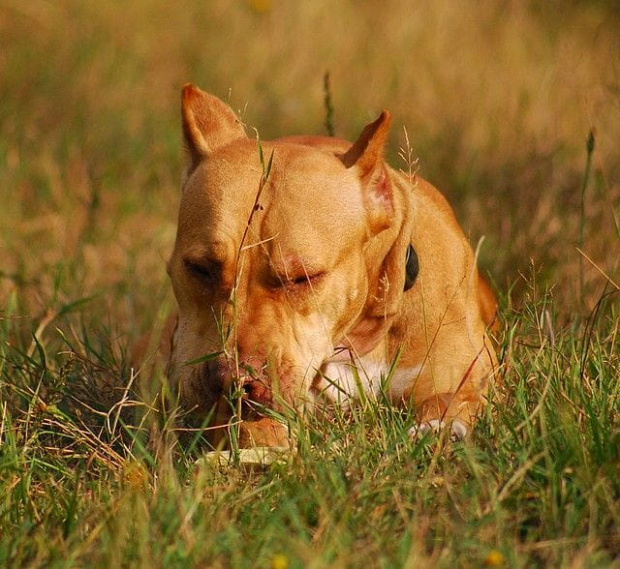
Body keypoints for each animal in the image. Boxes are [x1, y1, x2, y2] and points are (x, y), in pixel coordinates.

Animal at [161, 84, 498, 448]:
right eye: (200, 268)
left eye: (304, 278)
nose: (233, 380)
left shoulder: (462, 376)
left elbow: (448, 401)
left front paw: (439, 431)